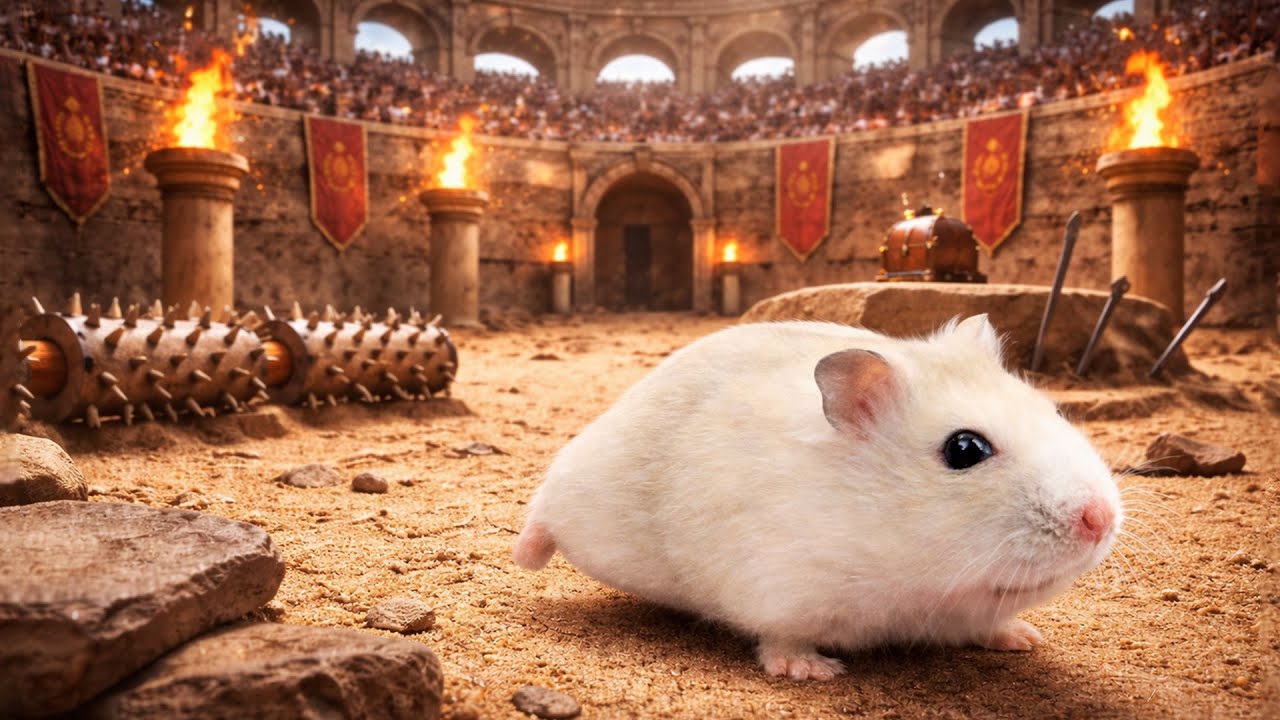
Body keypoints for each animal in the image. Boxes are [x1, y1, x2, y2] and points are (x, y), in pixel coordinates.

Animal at [514, 315, 1122, 681]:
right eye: (964, 448)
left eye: (1051, 409)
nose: (1101, 519)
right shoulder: (778, 588)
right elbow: (781, 639)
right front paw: (813, 672)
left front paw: (1024, 639)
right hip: (572, 483)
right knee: (540, 515)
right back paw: (524, 554)